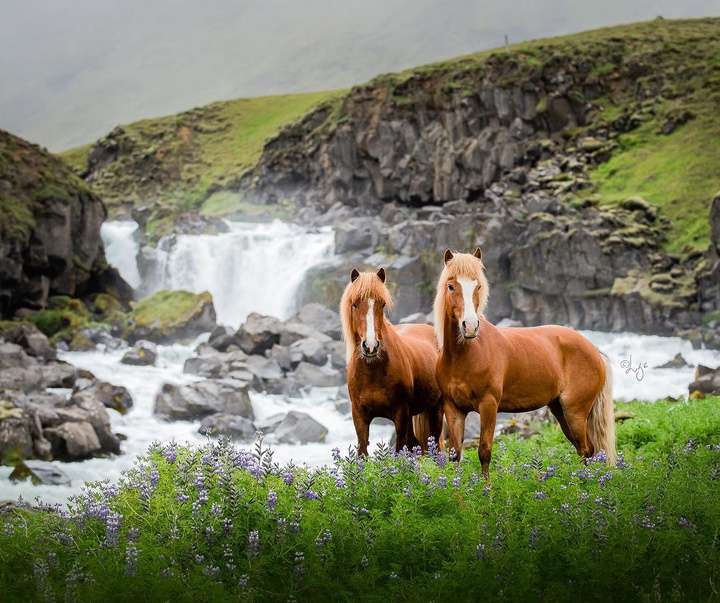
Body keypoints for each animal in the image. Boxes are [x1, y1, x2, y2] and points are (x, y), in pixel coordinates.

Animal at [338, 266, 444, 456]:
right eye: (355, 304)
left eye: (382, 304)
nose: (370, 346)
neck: (373, 371)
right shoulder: (359, 414)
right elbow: (362, 451)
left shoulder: (400, 413)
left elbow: (399, 451)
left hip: (436, 409)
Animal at [434, 248, 612, 478]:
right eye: (451, 286)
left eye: (478, 286)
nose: (470, 326)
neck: (463, 356)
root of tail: (594, 351)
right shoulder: (454, 409)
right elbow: (454, 454)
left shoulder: (488, 405)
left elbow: (484, 451)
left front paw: (486, 486)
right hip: (560, 411)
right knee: (585, 450)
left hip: (575, 411)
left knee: (586, 450)